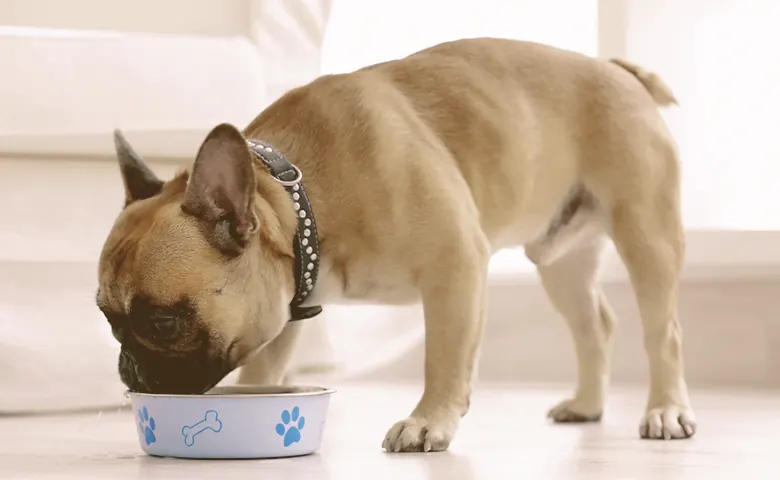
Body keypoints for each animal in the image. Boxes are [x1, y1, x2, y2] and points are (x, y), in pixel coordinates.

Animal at [94, 36, 696, 450]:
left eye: (163, 323)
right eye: (107, 319)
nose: (126, 369)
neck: (301, 198)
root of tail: (619, 70)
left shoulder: (455, 267)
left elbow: (444, 359)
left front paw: (429, 422)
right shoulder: (281, 309)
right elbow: (262, 371)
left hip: (647, 233)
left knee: (663, 333)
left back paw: (666, 411)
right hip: (561, 261)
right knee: (596, 326)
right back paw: (588, 406)